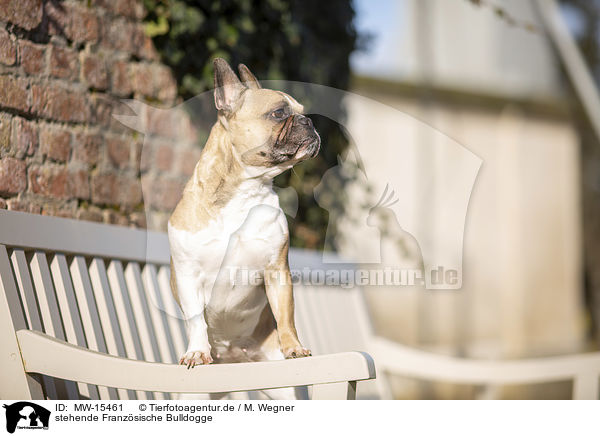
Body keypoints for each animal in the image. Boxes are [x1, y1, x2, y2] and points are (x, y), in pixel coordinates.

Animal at [166, 57, 322, 372]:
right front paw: (197, 351)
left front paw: (294, 347)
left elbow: (286, 315)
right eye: (278, 113)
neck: (245, 190)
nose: (309, 121)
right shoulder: (188, 275)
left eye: (301, 111)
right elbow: (196, 321)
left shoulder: (277, 271)